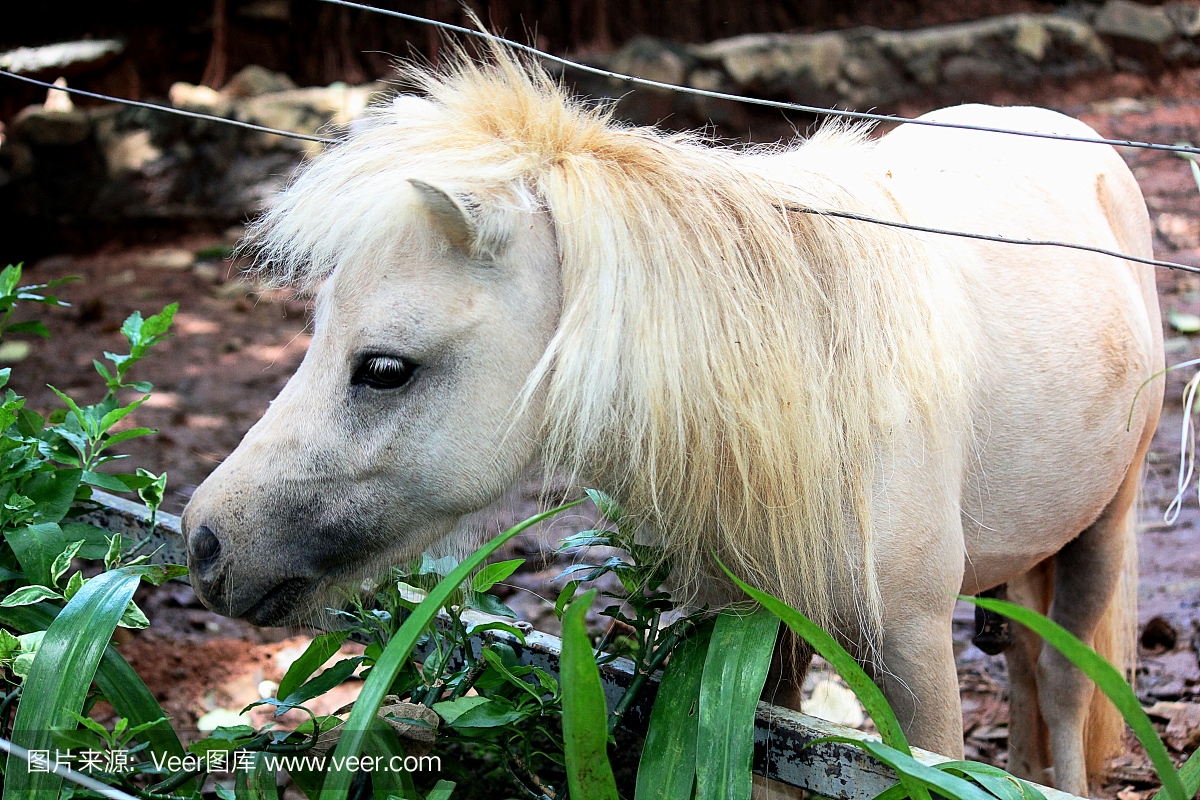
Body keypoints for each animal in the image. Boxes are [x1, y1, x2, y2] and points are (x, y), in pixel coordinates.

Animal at [180, 47, 1161, 796]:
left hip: (1104, 528)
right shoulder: (750, 639)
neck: (806, 383)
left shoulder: (913, 647)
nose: (205, 541)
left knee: (1067, 679)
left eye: (384, 369)